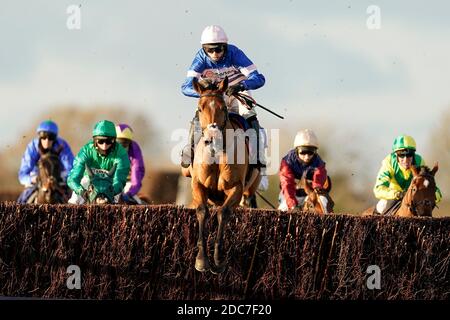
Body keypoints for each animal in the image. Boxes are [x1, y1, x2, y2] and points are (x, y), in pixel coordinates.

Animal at [183, 77, 260, 272]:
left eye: (223, 108)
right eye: (200, 108)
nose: (212, 138)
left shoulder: (236, 188)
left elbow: (223, 213)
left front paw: (218, 259)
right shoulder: (198, 185)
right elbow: (202, 211)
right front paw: (202, 259)